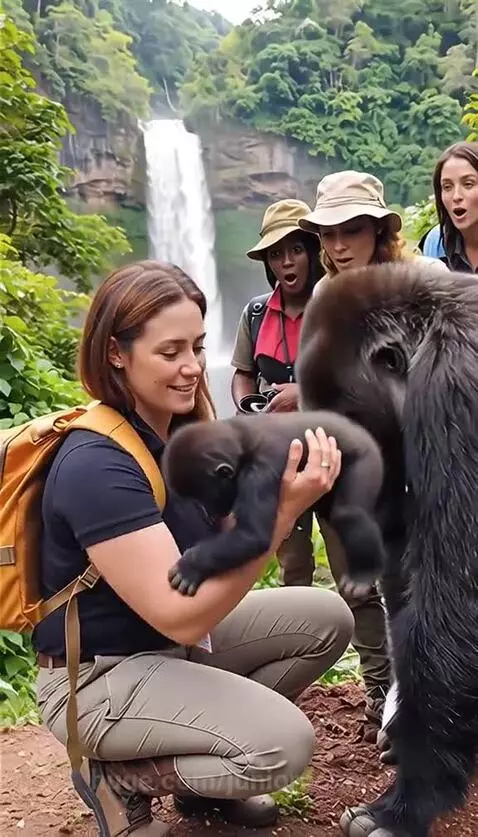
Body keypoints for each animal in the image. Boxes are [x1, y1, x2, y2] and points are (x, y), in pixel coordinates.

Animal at [161, 410, 387, 598]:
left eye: (204, 498)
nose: (211, 514)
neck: (242, 447)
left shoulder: (261, 470)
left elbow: (252, 535)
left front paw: (191, 565)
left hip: (366, 457)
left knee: (349, 514)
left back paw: (363, 574)